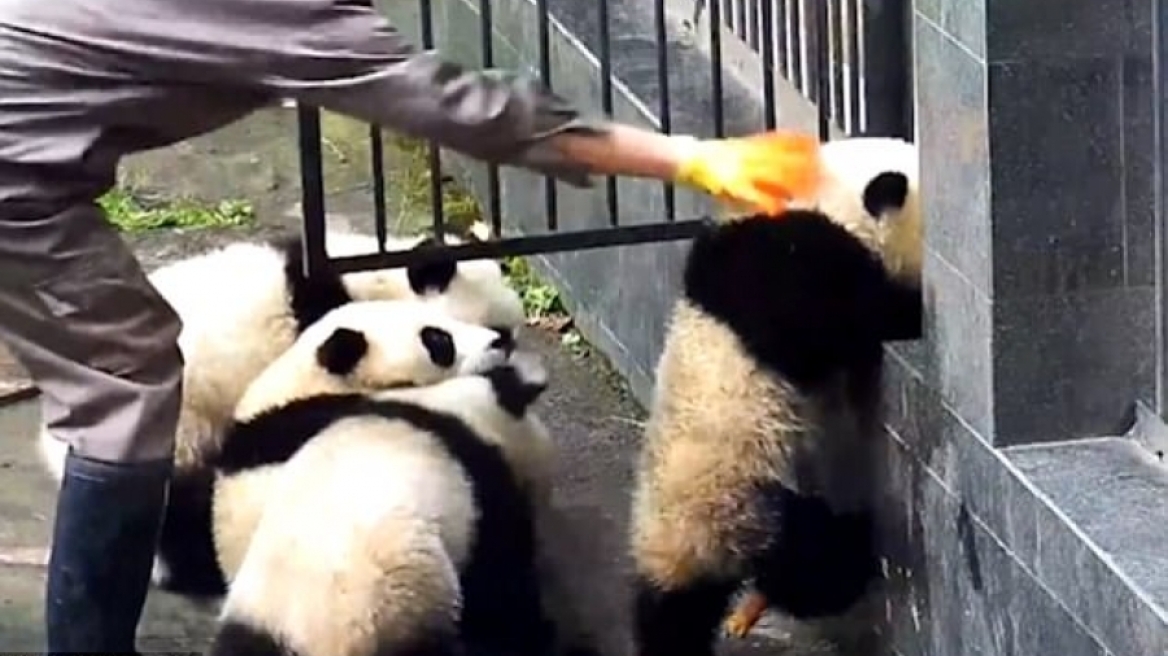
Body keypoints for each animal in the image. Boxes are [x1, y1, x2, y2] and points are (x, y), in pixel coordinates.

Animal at [628, 135, 922, 656]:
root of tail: (680, 551)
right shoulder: (793, 269)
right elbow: (855, 317)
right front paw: (911, 308)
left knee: (670, 613)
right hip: (743, 500)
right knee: (811, 563)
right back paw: (856, 548)